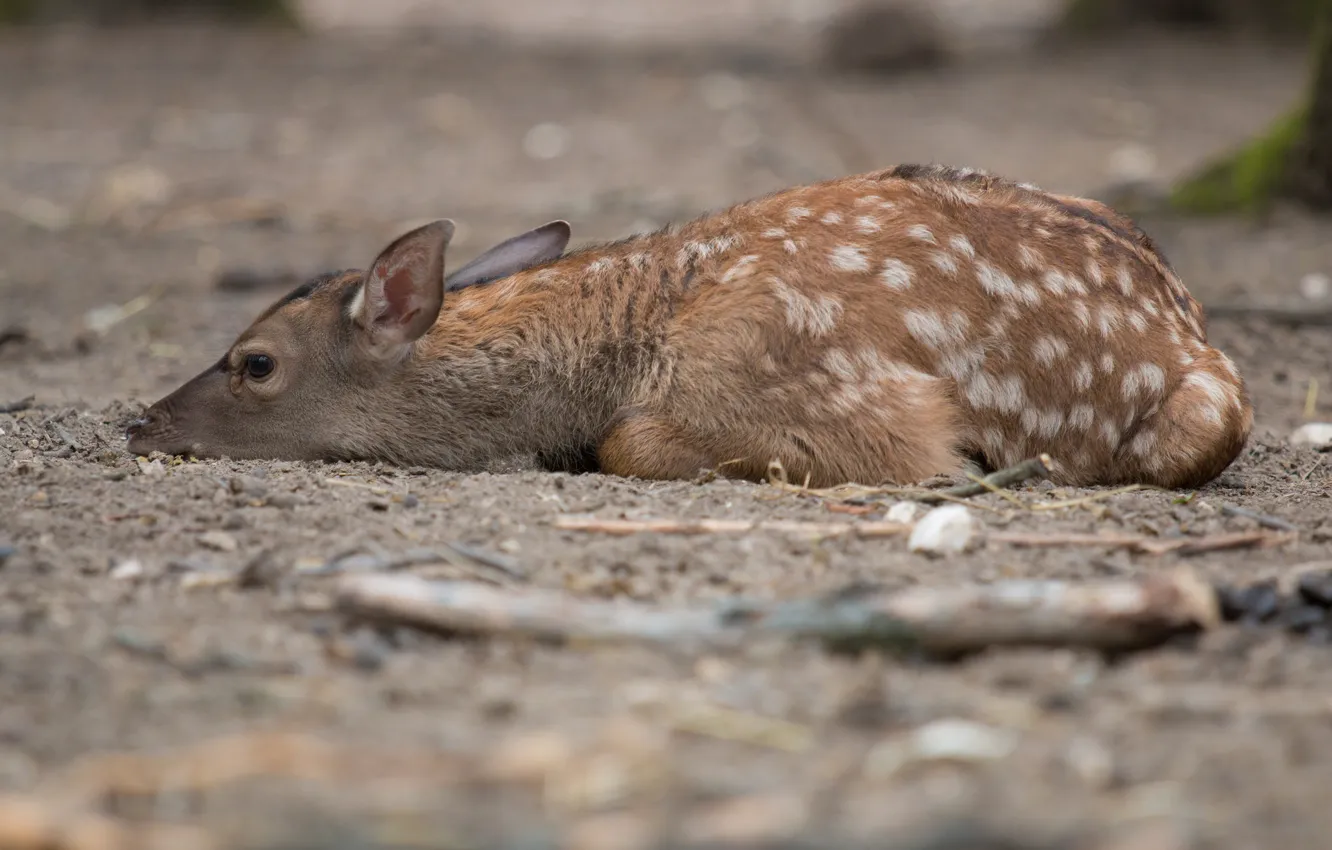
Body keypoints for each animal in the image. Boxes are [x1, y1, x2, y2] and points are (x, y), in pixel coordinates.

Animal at [125, 165, 1253, 490]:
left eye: (254, 362)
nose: (139, 422)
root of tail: (1188, 315)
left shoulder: (858, 405)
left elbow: (625, 442)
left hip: (1211, 415)